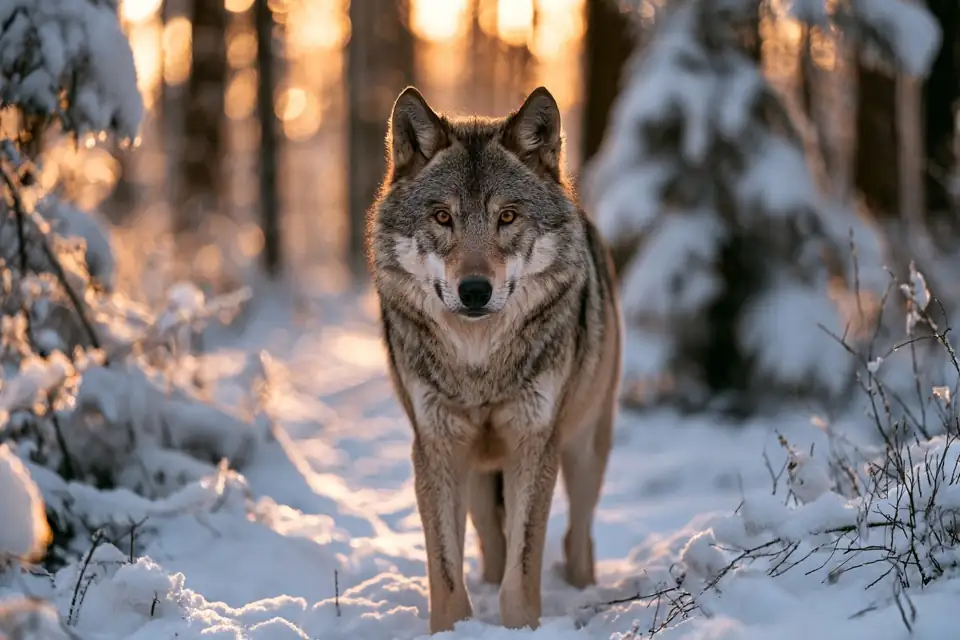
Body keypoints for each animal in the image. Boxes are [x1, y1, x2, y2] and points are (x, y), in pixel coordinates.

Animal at [365, 85, 622, 633]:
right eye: (443, 217)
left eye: (507, 216)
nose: (475, 290)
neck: (479, 365)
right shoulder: (436, 447)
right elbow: (447, 573)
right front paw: (450, 630)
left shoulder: (535, 442)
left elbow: (521, 574)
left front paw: (522, 629)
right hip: (481, 475)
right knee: (491, 542)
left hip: (584, 448)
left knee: (577, 536)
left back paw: (583, 589)